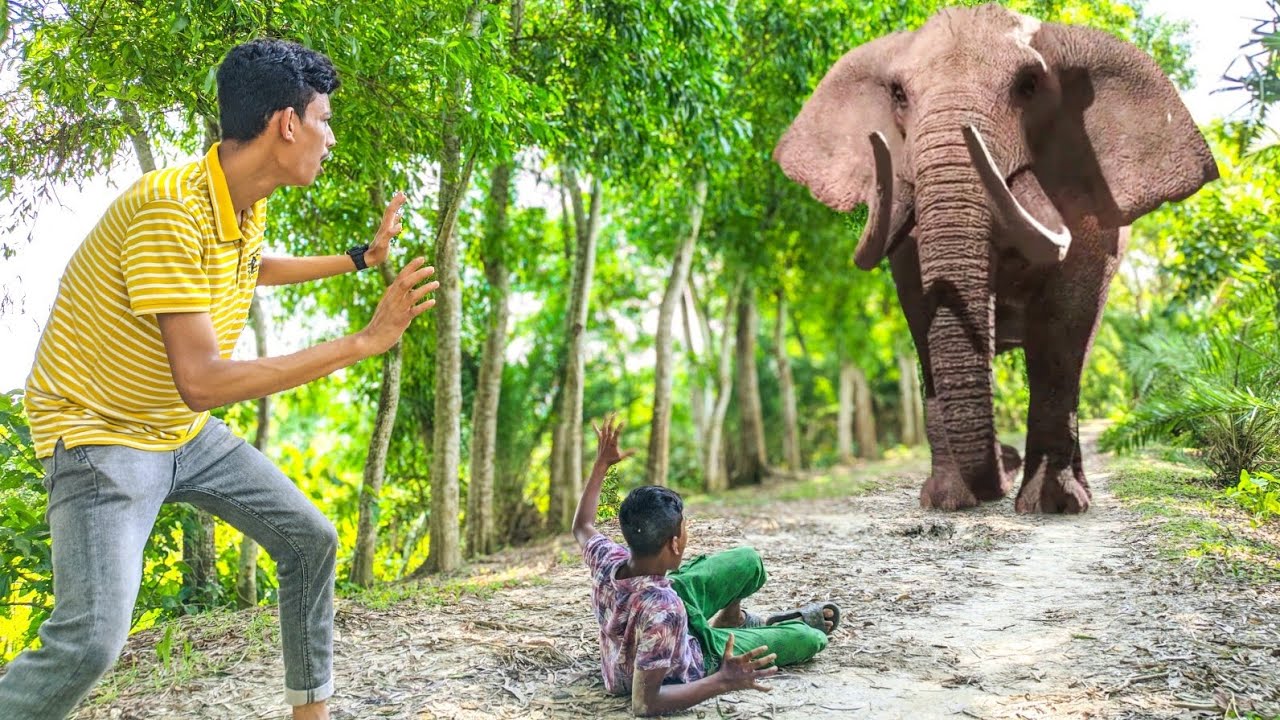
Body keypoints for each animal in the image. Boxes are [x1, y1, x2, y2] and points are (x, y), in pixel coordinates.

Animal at [773, 4, 1218, 513]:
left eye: (1028, 86)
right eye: (898, 94)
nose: (1000, 476)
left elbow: (1063, 327)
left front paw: (1051, 506)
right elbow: (919, 313)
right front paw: (948, 502)